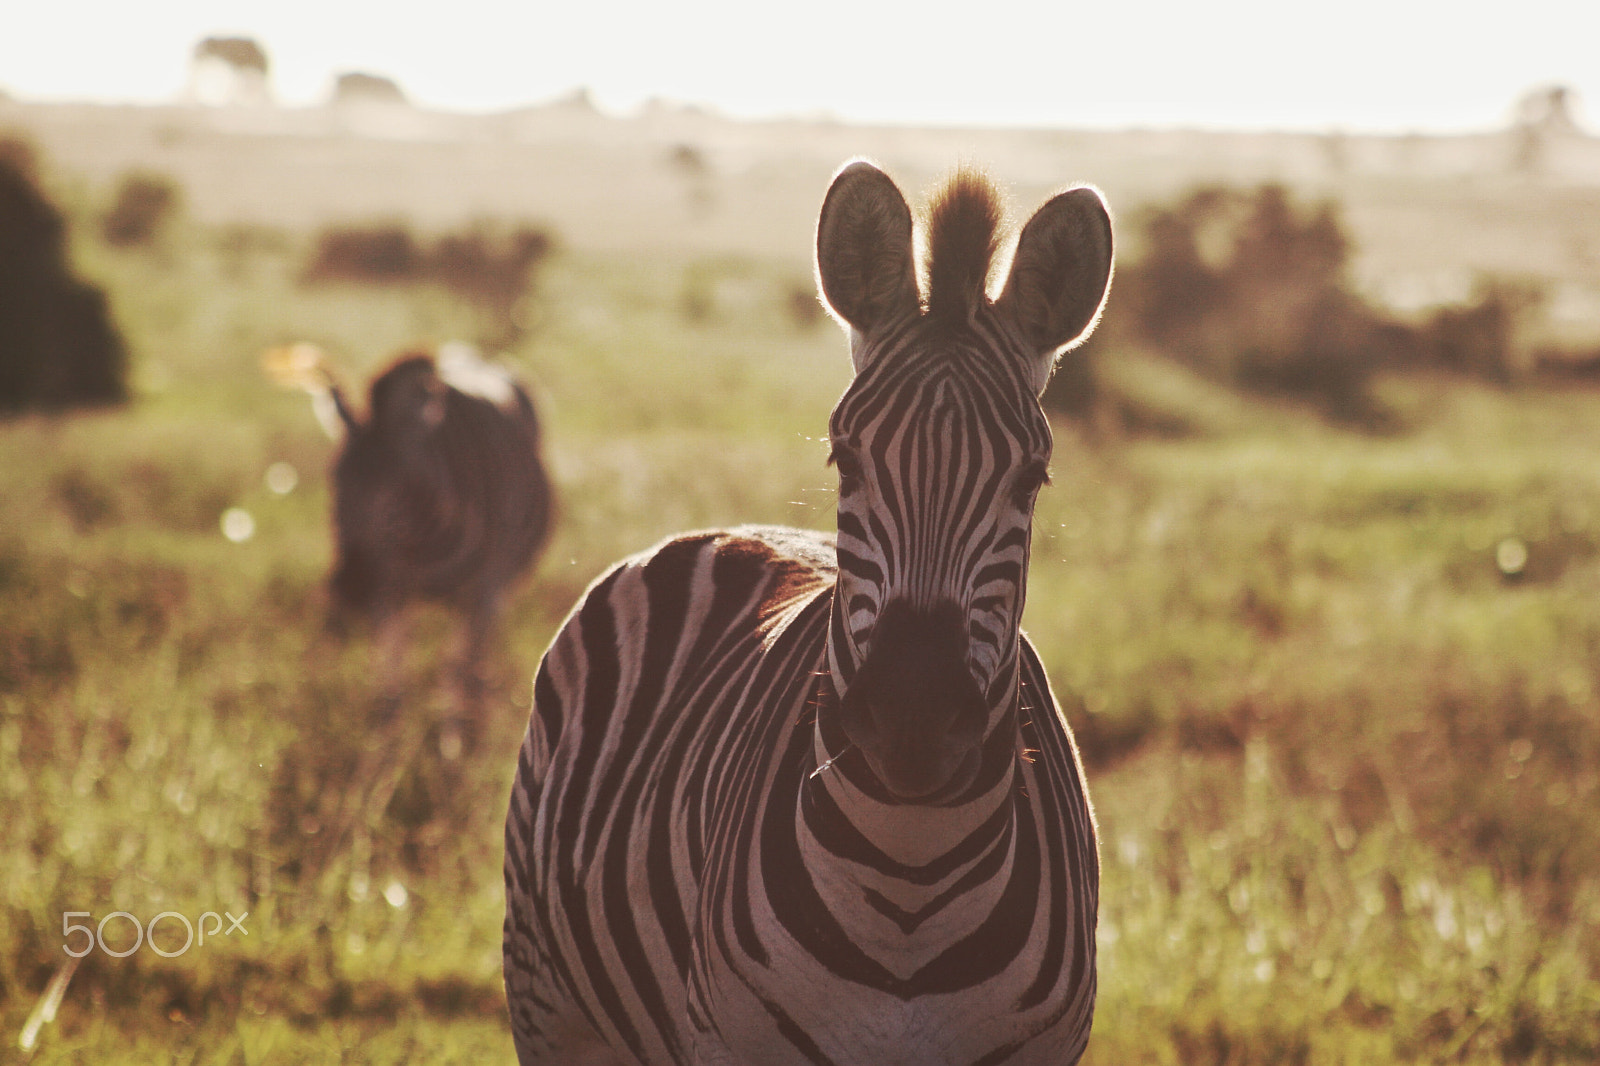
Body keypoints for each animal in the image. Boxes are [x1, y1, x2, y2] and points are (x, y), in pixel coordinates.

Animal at [504, 160, 1112, 1065]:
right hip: (547, 999)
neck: (910, 876)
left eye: (1030, 478)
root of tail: (734, 531)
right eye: (845, 458)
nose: (911, 721)